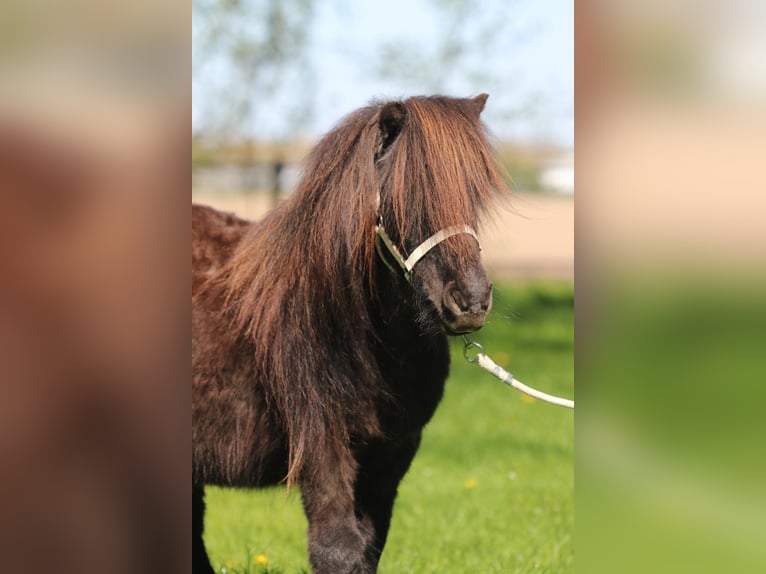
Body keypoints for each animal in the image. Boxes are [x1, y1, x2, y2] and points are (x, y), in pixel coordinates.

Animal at [192, 94, 509, 573]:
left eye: (473, 196)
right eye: (404, 197)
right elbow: (337, 549)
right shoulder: (322, 447)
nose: (470, 302)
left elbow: (368, 548)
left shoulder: (391, 455)